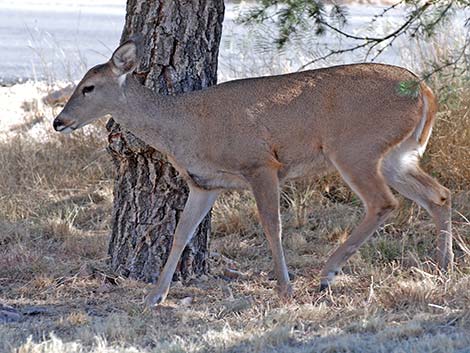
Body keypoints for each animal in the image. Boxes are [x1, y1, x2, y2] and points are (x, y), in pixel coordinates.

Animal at [53, 37, 454, 306]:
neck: (185, 126)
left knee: (383, 203)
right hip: (396, 155)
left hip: (355, 147)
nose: (59, 121)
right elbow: (181, 234)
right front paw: (155, 295)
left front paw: (284, 287)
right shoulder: (204, 184)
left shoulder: (260, 164)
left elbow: (272, 225)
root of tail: (425, 90)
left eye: (89, 87)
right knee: (438, 194)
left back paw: (326, 275)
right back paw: (443, 267)